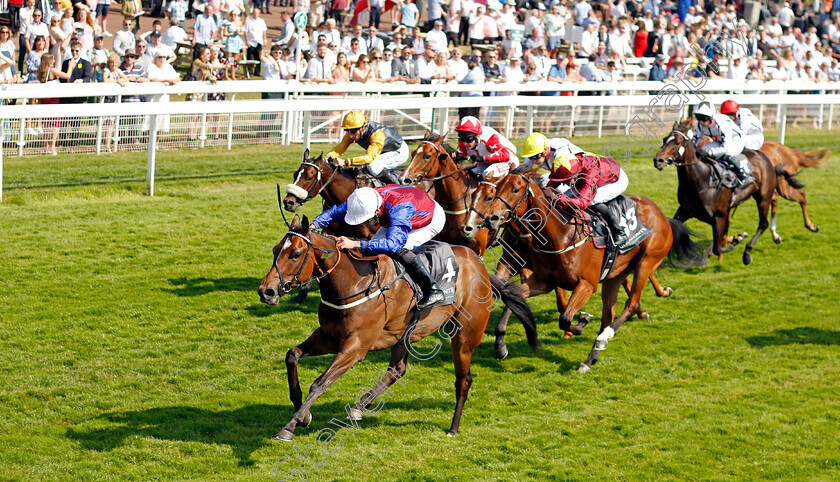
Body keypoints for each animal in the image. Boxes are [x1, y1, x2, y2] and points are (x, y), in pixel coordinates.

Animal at [258, 215, 540, 440]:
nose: (266, 291)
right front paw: (302, 412)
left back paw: (453, 427)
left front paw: (290, 426)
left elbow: (320, 383)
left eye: (295, 254)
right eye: (274, 250)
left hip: (464, 336)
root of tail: (480, 267)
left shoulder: (355, 348)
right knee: (397, 369)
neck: (350, 283)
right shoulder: (328, 337)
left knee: (463, 379)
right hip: (403, 335)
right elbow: (292, 355)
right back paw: (361, 406)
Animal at [460, 168, 704, 374]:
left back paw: (605, 337)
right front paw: (500, 345)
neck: (560, 234)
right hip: (615, 275)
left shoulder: (586, 284)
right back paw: (590, 358)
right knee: (609, 314)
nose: (491, 218)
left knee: (630, 305)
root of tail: (661, 214)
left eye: (515, 189)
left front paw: (581, 322)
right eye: (496, 189)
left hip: (647, 262)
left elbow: (565, 318)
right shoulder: (543, 280)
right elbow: (515, 297)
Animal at [652, 119, 776, 266]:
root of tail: (763, 156)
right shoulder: (685, 210)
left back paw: (747, 253)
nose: (658, 160)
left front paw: (738, 239)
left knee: (763, 224)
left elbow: (719, 248)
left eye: (677, 142)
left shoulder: (719, 216)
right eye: (665, 139)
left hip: (763, 197)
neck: (700, 180)